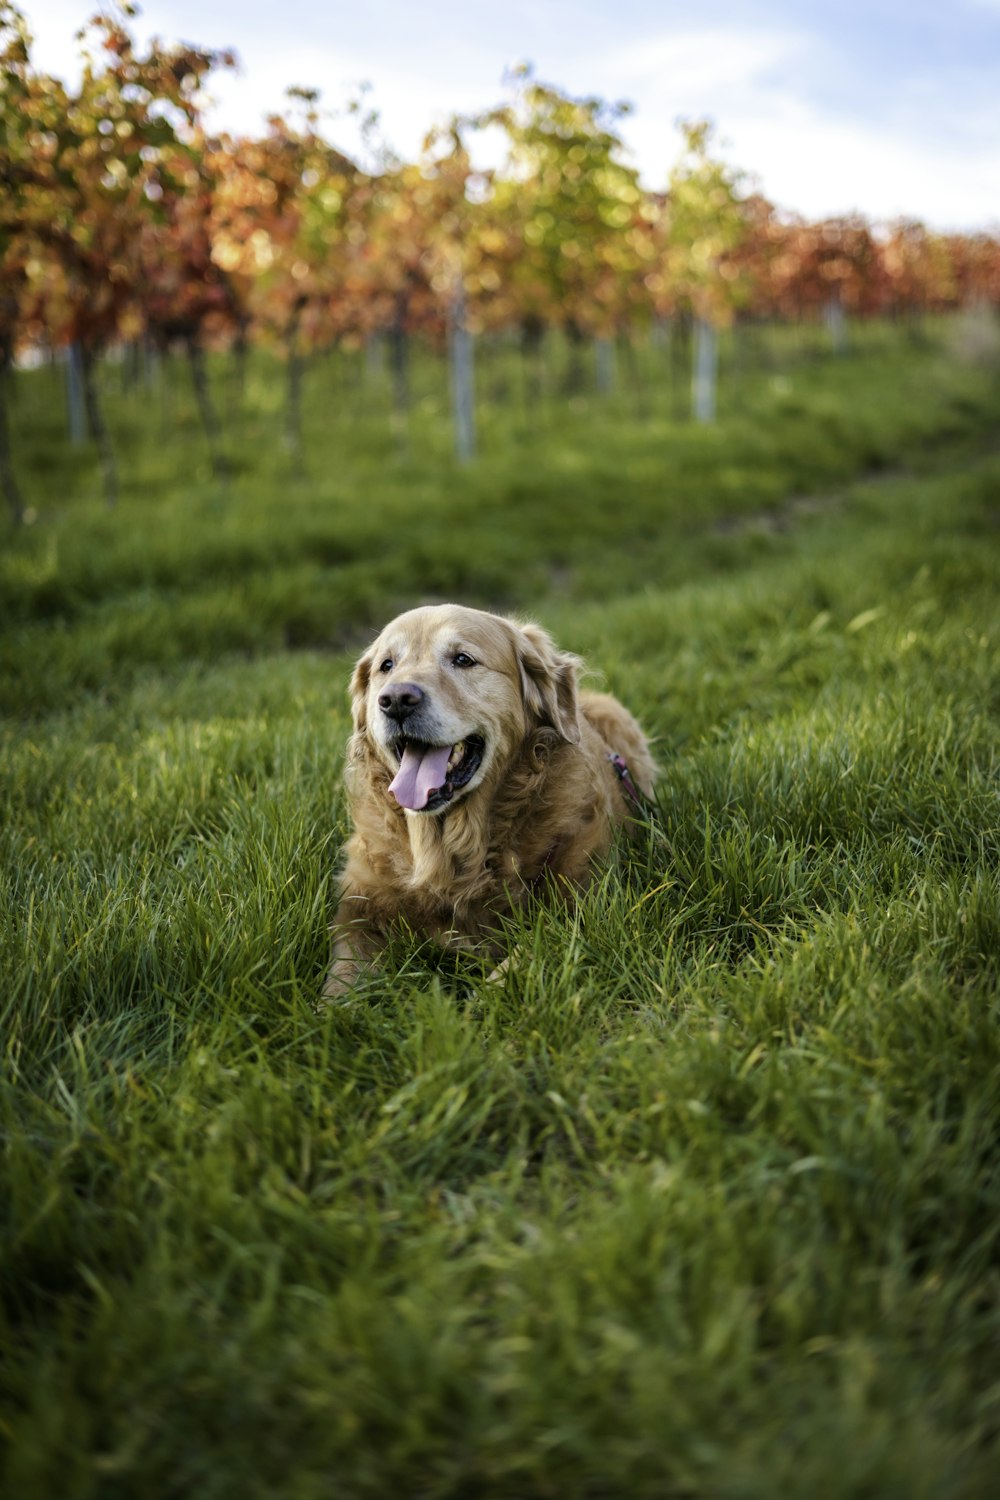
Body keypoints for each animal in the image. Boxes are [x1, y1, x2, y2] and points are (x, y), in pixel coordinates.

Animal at [325, 597, 659, 996]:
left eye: (463, 659)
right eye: (386, 666)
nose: (396, 700)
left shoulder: (579, 907)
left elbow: (516, 966)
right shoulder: (359, 912)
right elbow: (338, 984)